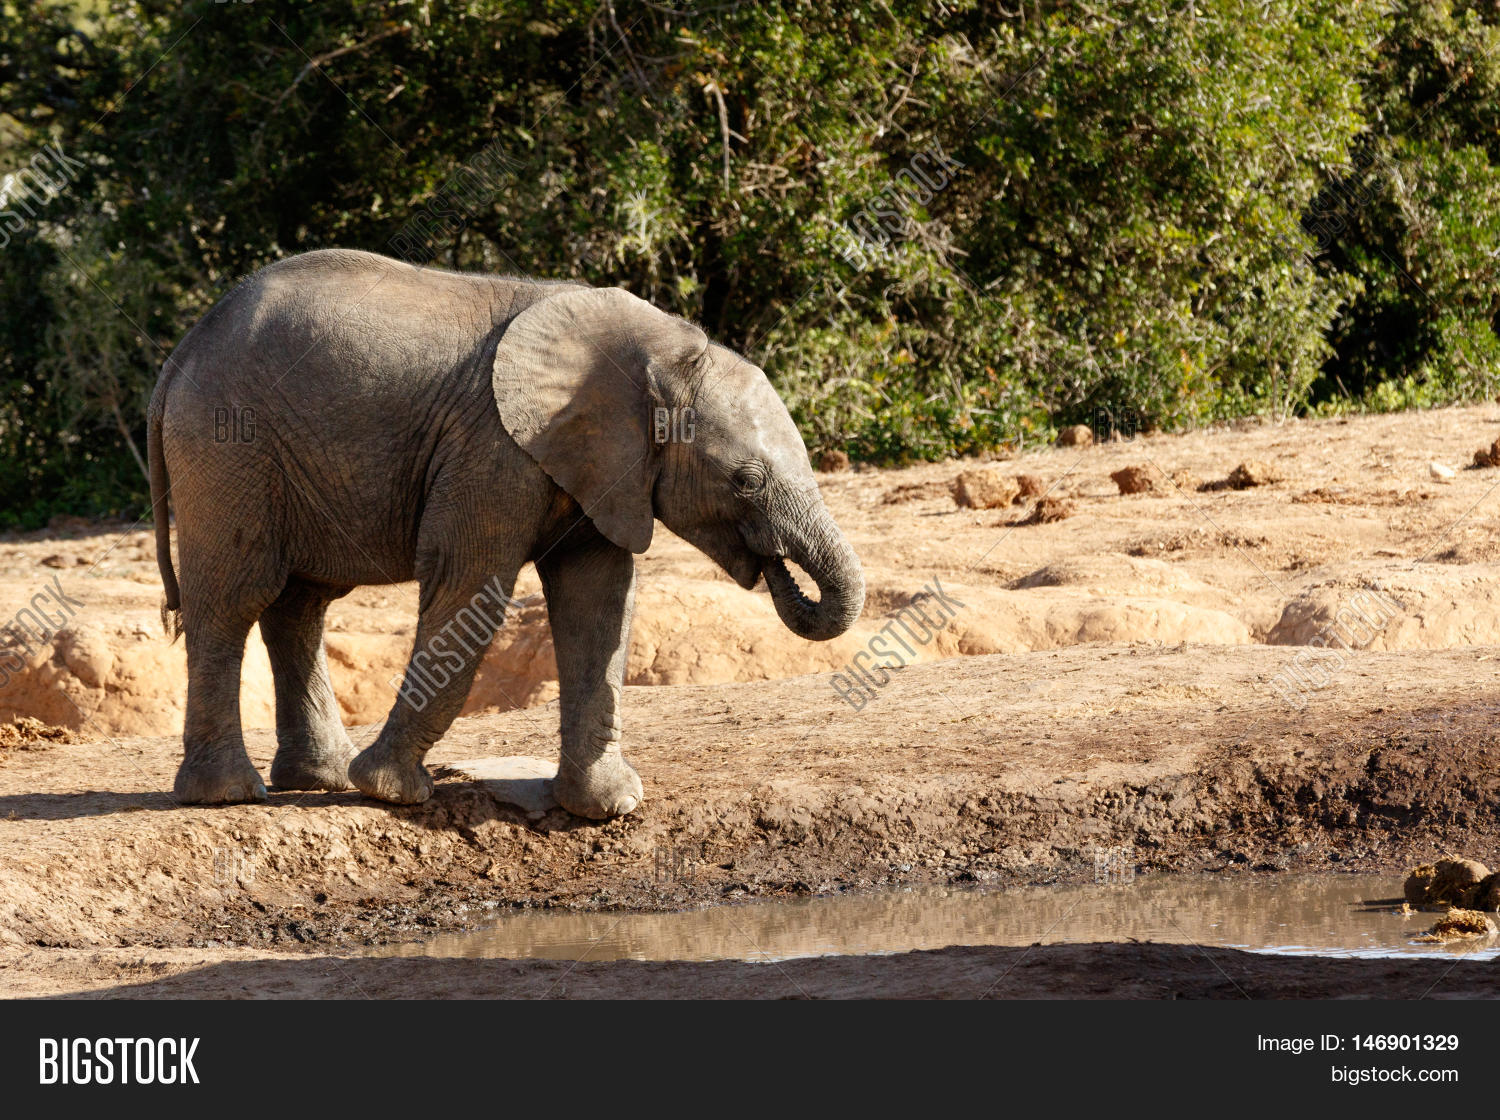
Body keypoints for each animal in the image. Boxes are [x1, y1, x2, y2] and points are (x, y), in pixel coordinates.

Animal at [147, 248, 864, 819]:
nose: (774, 564)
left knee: (302, 604)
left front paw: (608, 807)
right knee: (235, 597)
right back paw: (230, 794)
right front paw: (391, 792)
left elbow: (598, 599)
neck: (660, 350)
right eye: (745, 481)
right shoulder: (491, 449)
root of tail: (181, 352)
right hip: (227, 444)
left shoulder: (596, 463)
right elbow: (471, 587)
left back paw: (319, 779)